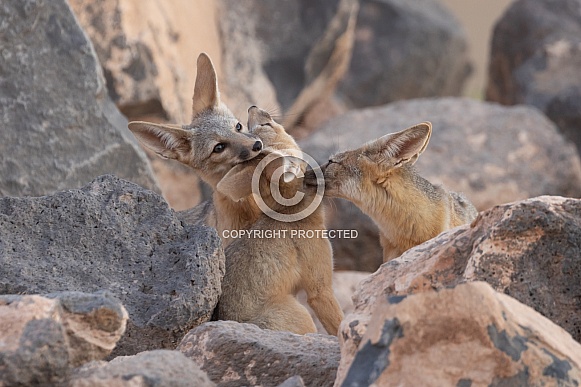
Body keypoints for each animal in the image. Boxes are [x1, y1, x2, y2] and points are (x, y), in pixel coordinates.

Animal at [214, 107, 342, 336]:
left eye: (254, 130)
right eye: (265, 126)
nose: (252, 107)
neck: (289, 212)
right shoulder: (320, 289)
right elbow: (339, 324)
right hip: (303, 314)